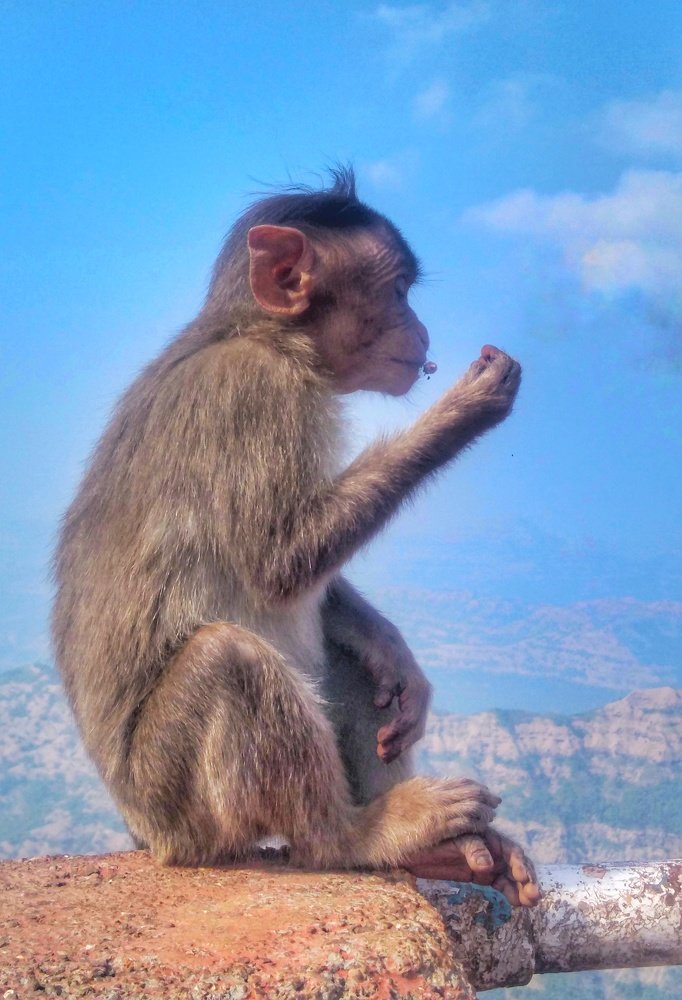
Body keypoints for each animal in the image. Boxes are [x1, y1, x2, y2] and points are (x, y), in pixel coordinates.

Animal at [52, 168, 539, 907]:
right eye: (399, 291)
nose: (422, 327)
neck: (263, 336)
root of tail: (146, 835)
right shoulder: (257, 396)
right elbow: (279, 562)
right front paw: (463, 412)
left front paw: (391, 649)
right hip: (178, 802)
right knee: (227, 658)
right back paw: (356, 833)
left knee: (339, 667)